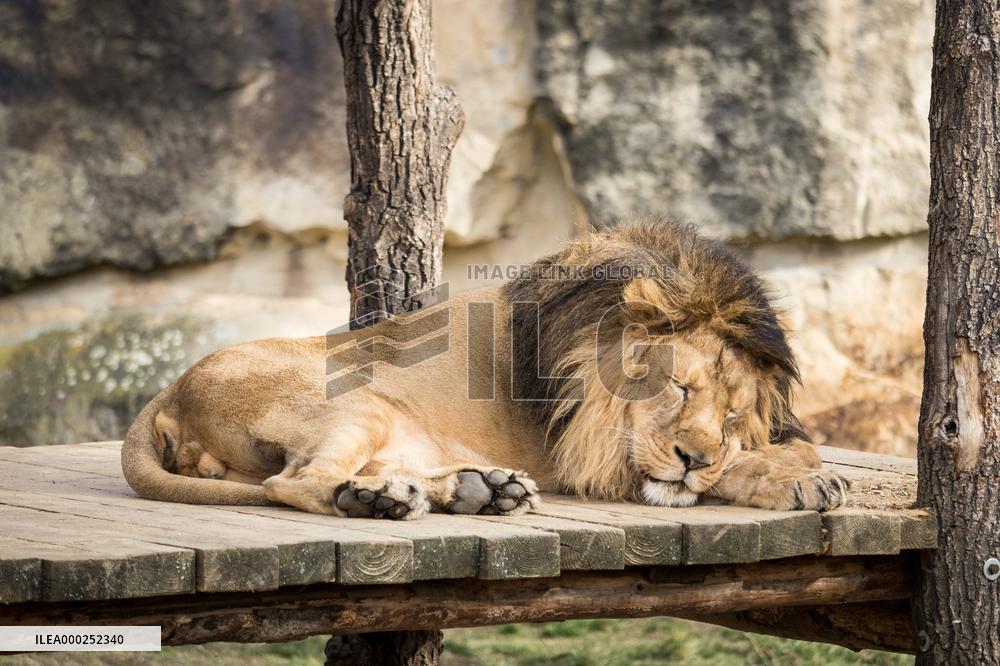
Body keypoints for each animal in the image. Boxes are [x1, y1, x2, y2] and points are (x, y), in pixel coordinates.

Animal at [121, 219, 848, 519]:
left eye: (732, 415)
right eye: (677, 386)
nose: (693, 457)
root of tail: (170, 390)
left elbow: (785, 450)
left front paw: (802, 472)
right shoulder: (592, 457)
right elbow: (735, 470)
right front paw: (799, 481)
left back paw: (475, 491)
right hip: (358, 401)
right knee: (294, 482)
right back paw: (382, 502)